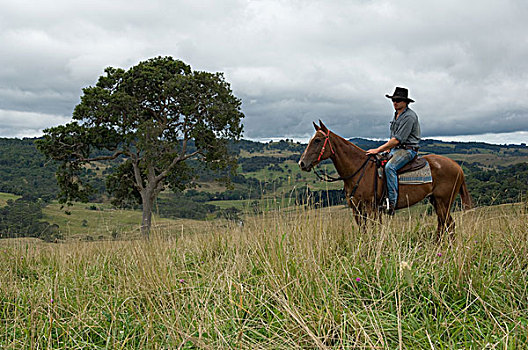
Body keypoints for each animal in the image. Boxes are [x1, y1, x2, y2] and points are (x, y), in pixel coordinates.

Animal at [296, 121, 474, 238]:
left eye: (317, 140)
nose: (302, 163)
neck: (358, 169)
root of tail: (458, 167)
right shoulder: (357, 209)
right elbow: (363, 232)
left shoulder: (371, 208)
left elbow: (373, 231)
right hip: (436, 201)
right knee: (443, 224)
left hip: (444, 202)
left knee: (449, 225)